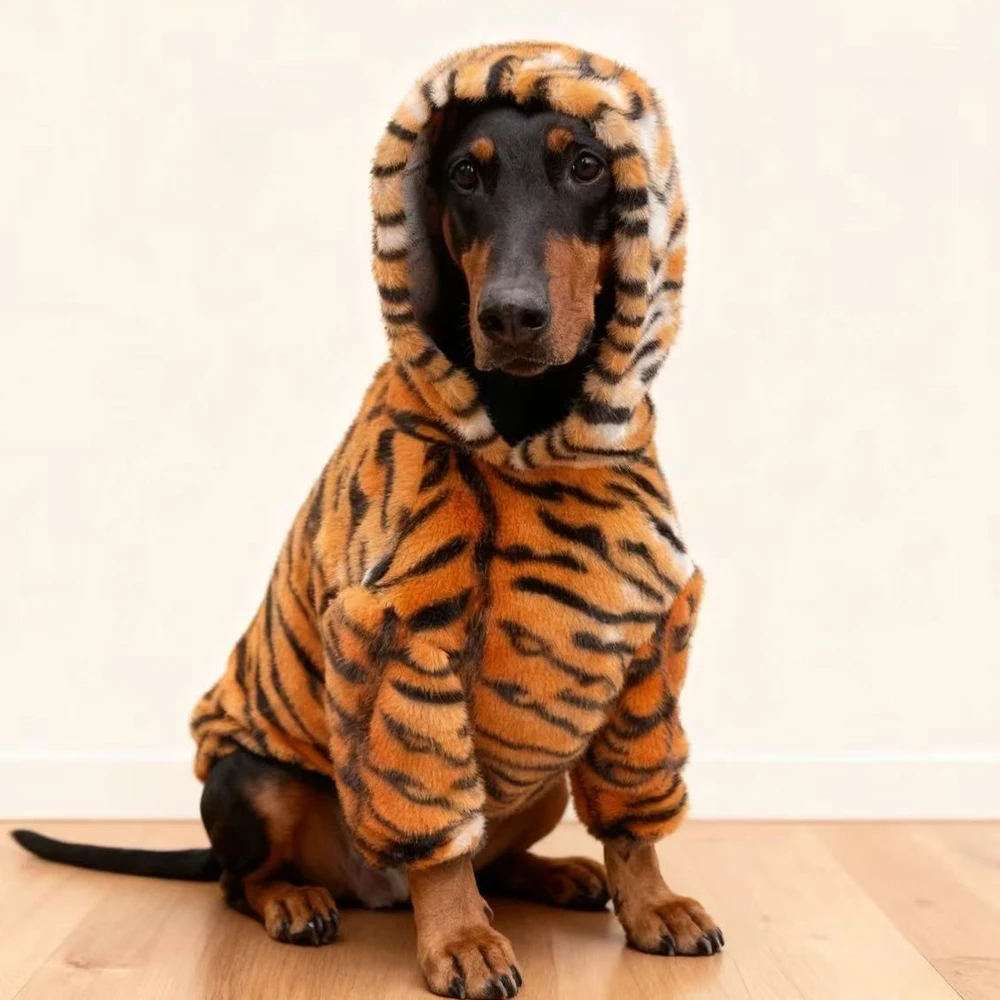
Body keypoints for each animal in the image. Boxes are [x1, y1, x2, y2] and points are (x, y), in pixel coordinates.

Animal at [13, 42, 722, 999]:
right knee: (245, 880)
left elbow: (633, 813)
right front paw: (460, 941)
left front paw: (652, 905)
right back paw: (297, 901)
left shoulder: (647, 637)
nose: (509, 315)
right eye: (465, 174)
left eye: (586, 165)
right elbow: (431, 825)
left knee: (492, 849)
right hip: (249, 777)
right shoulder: (398, 634)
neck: (524, 433)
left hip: (538, 786)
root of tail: (368, 889)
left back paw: (557, 876)